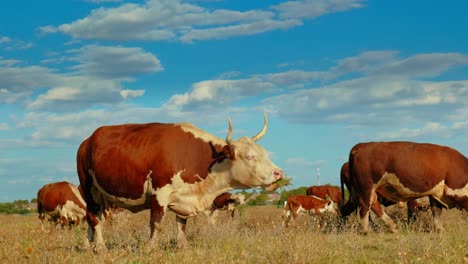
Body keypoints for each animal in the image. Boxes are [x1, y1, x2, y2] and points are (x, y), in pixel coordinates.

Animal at [77, 113, 284, 250]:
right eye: (250, 157)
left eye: (265, 153)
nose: (278, 173)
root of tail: (88, 141)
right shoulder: (159, 194)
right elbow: (156, 223)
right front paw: (151, 248)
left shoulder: (184, 198)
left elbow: (181, 223)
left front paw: (183, 246)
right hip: (89, 189)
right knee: (94, 218)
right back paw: (101, 248)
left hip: (101, 196)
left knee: (92, 218)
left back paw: (88, 245)